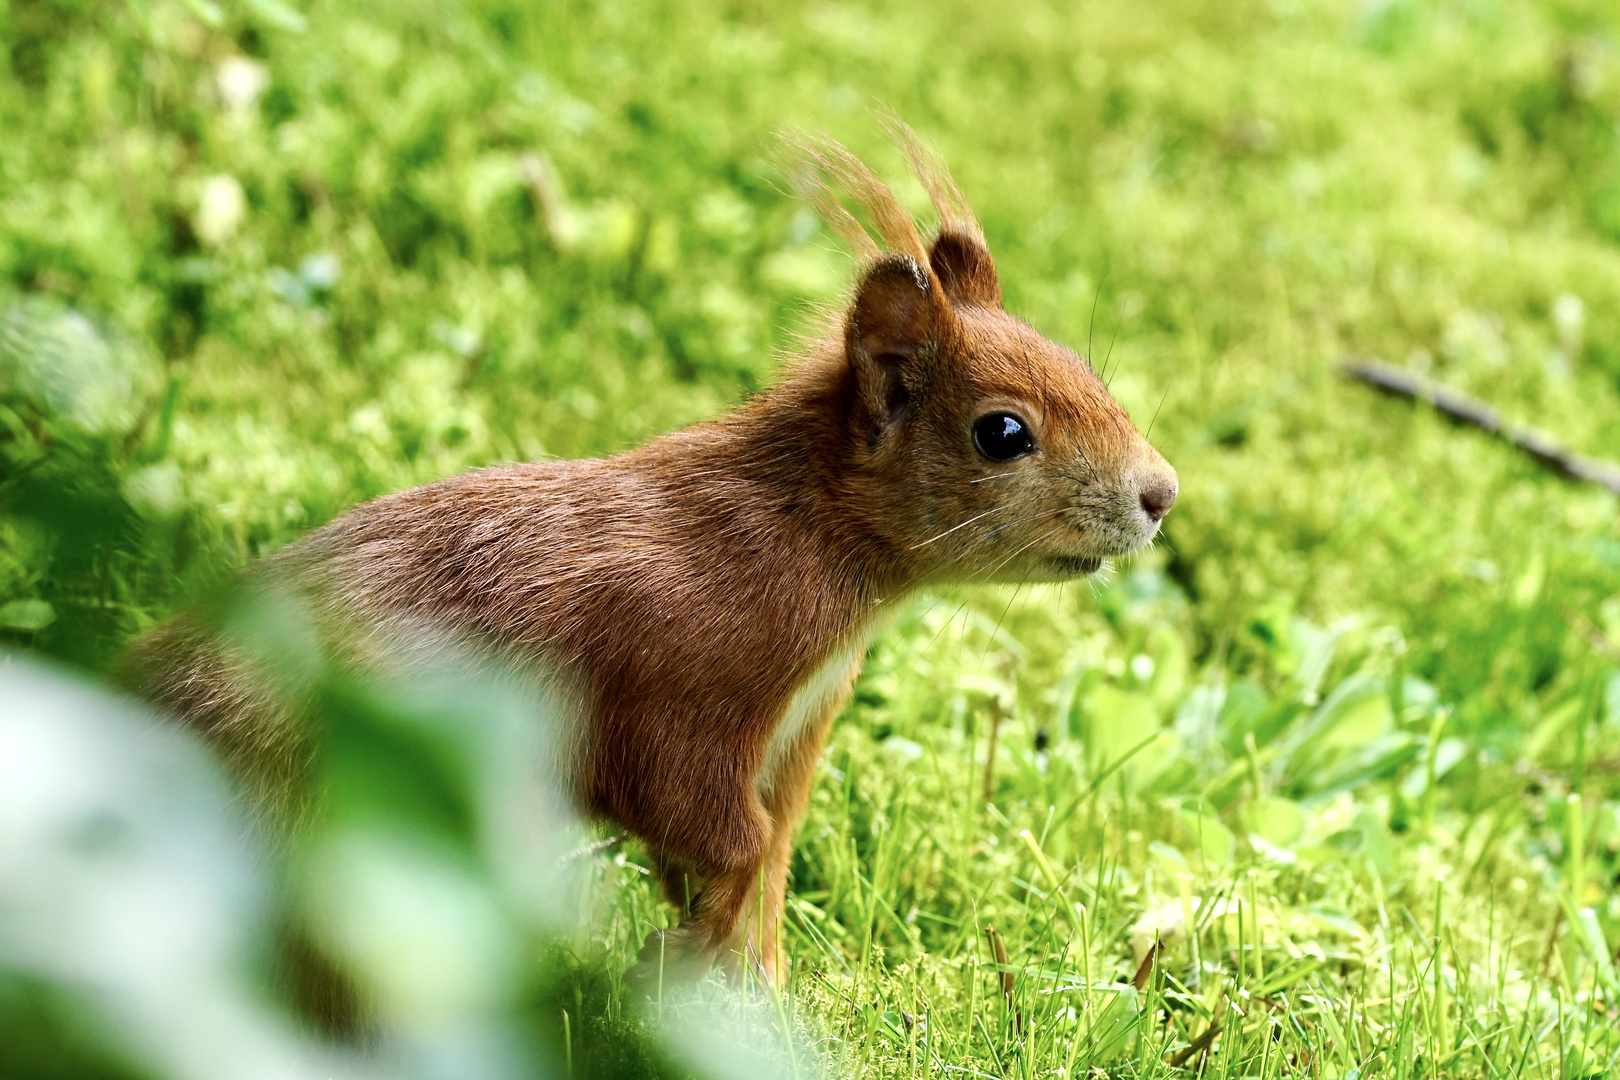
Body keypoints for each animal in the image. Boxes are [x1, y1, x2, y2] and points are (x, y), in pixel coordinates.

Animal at [119, 127, 1172, 990]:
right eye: (1003, 432)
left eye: (1085, 367)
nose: (1161, 494)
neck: (803, 534)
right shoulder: (677, 677)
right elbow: (714, 822)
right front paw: (692, 943)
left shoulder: (795, 730)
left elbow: (769, 862)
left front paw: (756, 990)